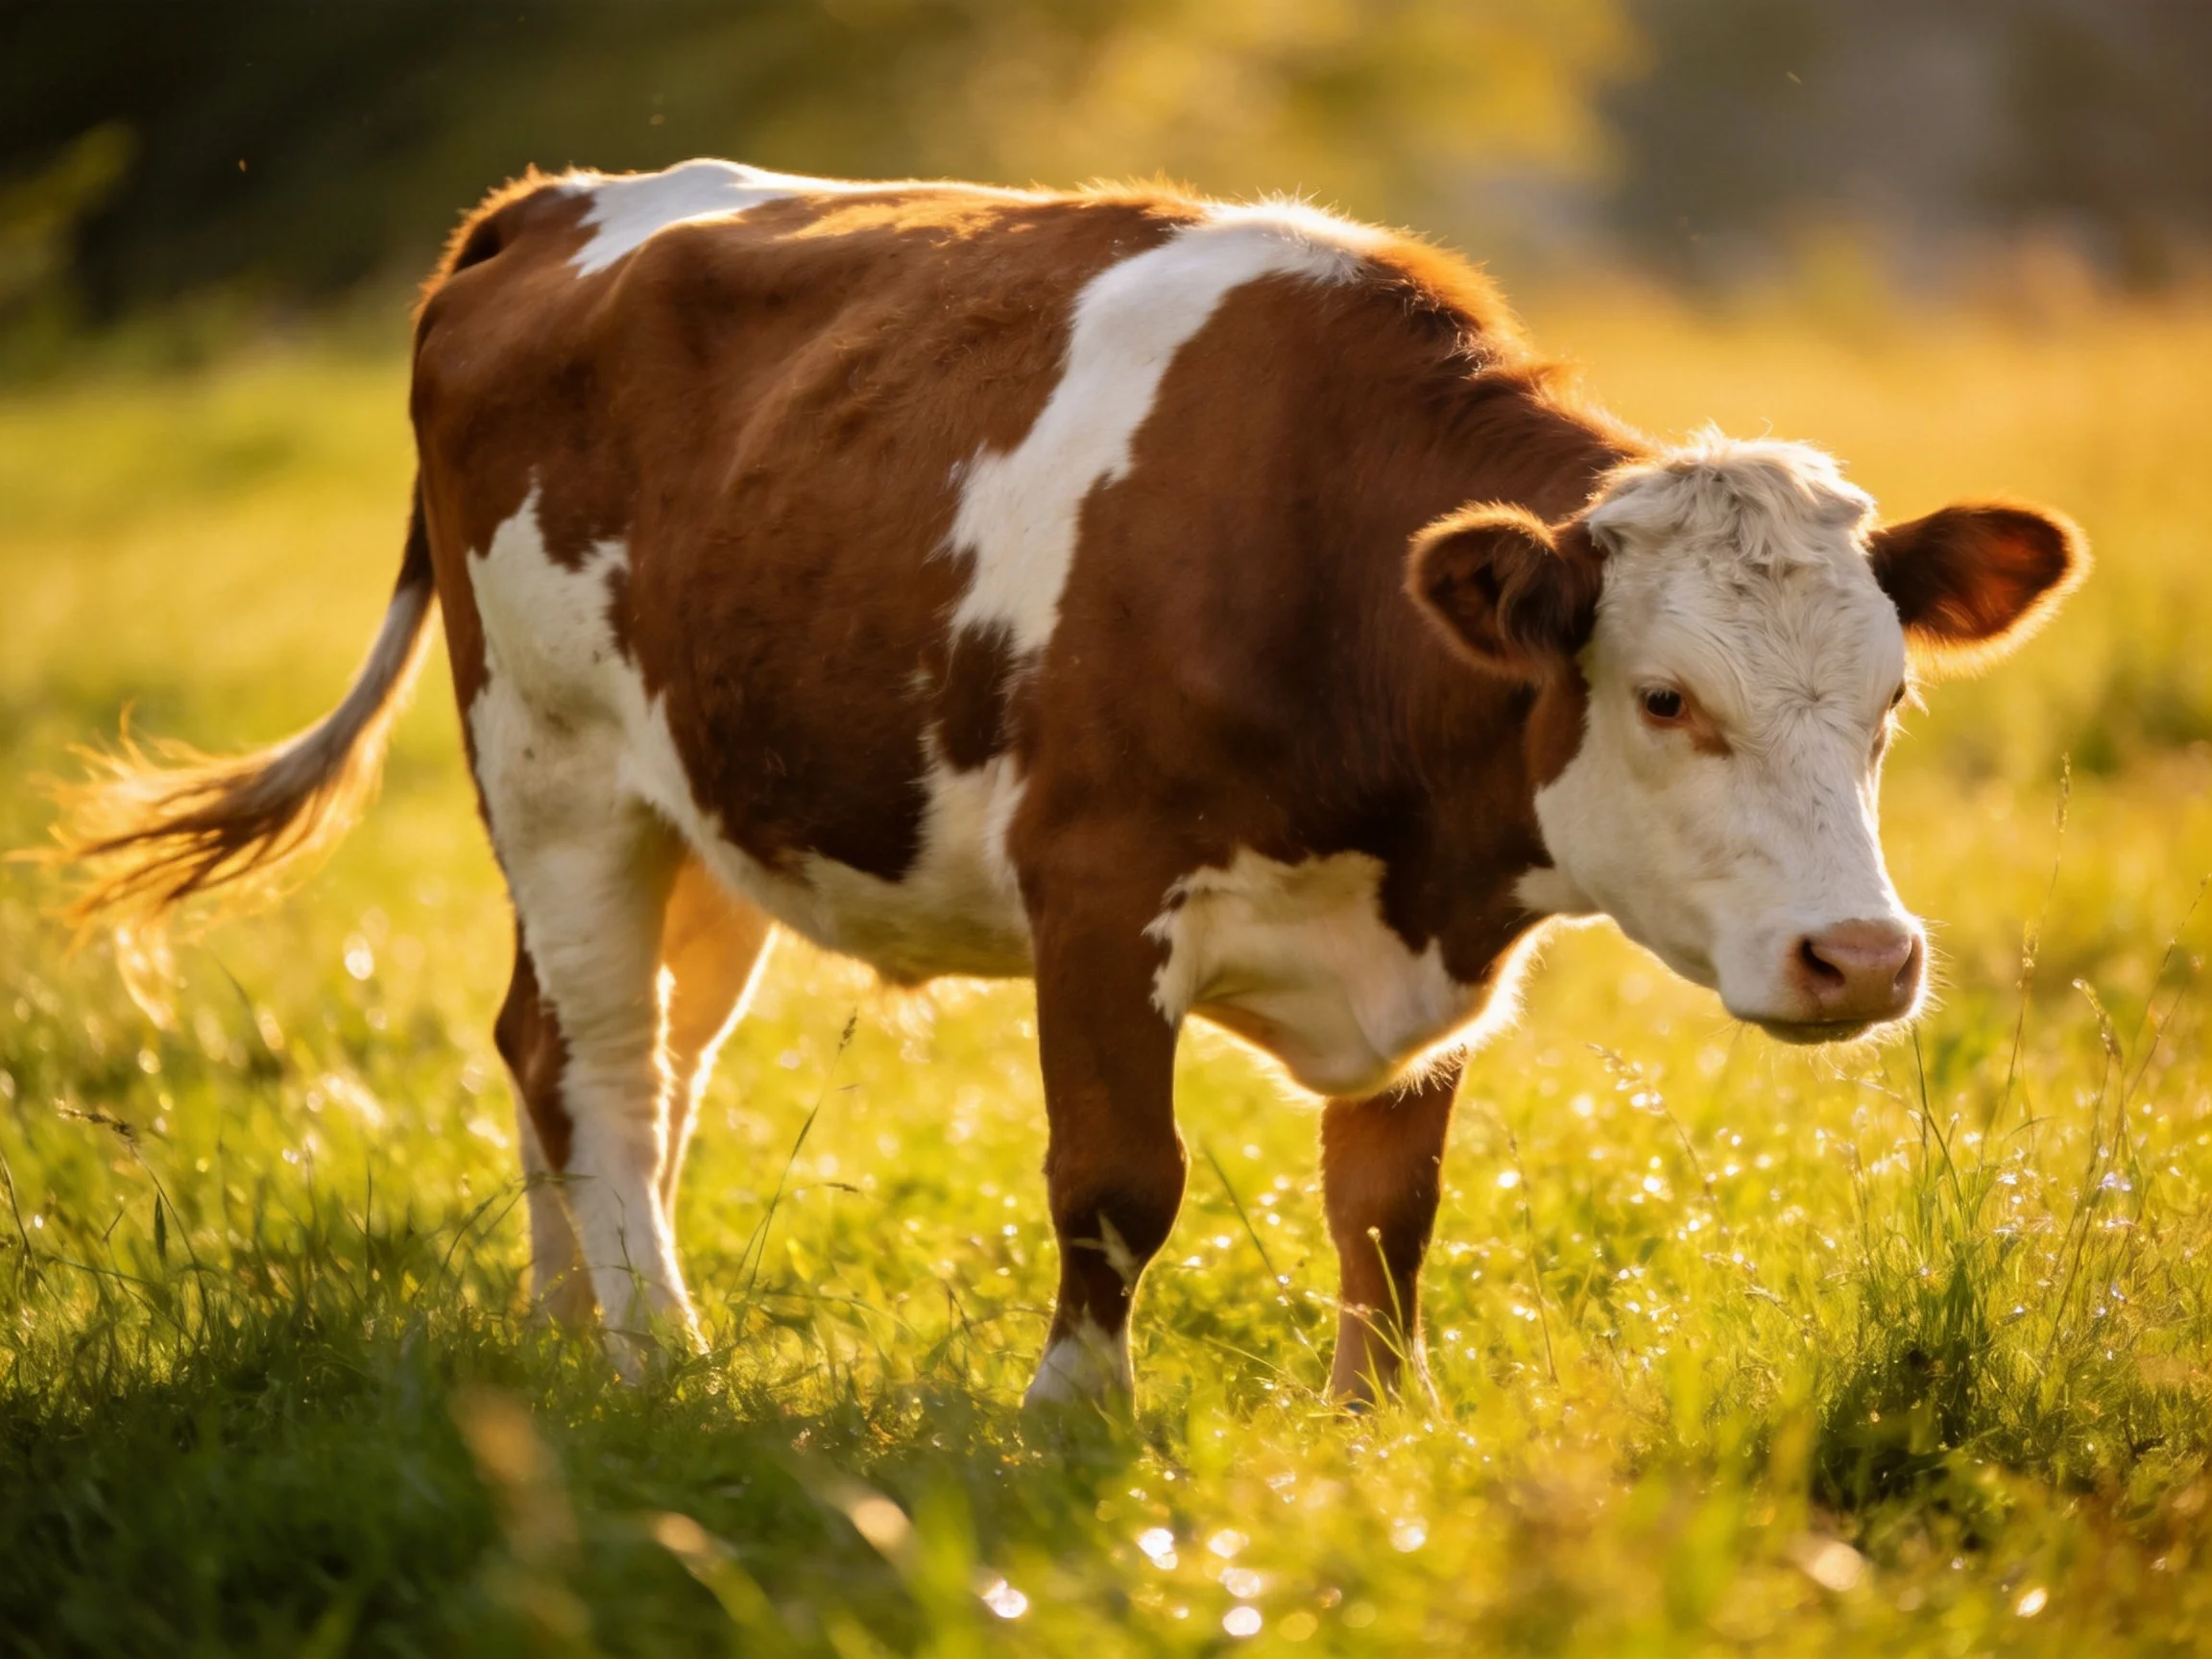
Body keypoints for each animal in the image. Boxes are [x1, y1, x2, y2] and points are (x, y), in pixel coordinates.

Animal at [58, 160, 2087, 1407]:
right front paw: (1073, 1407)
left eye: (1890, 702)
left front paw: (1376, 1424)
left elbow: (1386, 1202)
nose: (1858, 958)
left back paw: (568, 1331)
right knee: (607, 1066)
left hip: (704, 799)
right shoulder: (1099, 886)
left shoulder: (1434, 949)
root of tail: (549, 206)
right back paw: (659, 1348)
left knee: (570, 1043)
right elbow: (1118, 1176)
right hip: (552, 768)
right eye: (1663, 699)